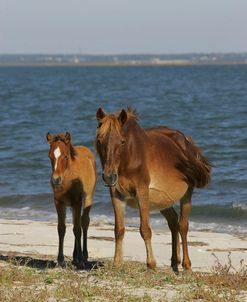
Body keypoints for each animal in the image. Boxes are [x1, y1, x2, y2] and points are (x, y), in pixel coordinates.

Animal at [47, 132, 96, 268]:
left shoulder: (77, 202)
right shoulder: (59, 203)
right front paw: (60, 260)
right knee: (76, 223)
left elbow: (77, 229)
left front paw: (80, 259)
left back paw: (83, 256)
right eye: (50, 156)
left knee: (83, 223)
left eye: (65, 156)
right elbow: (61, 228)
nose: (56, 180)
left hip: (87, 198)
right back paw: (74, 257)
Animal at [95, 108, 211, 272]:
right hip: (162, 200)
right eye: (100, 140)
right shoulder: (116, 195)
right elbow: (119, 230)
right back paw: (174, 262)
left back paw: (186, 266)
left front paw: (151, 264)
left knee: (183, 226)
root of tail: (186, 142)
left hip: (186, 195)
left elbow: (145, 229)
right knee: (173, 222)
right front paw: (117, 263)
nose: (109, 176)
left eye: (122, 141)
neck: (130, 157)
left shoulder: (142, 193)